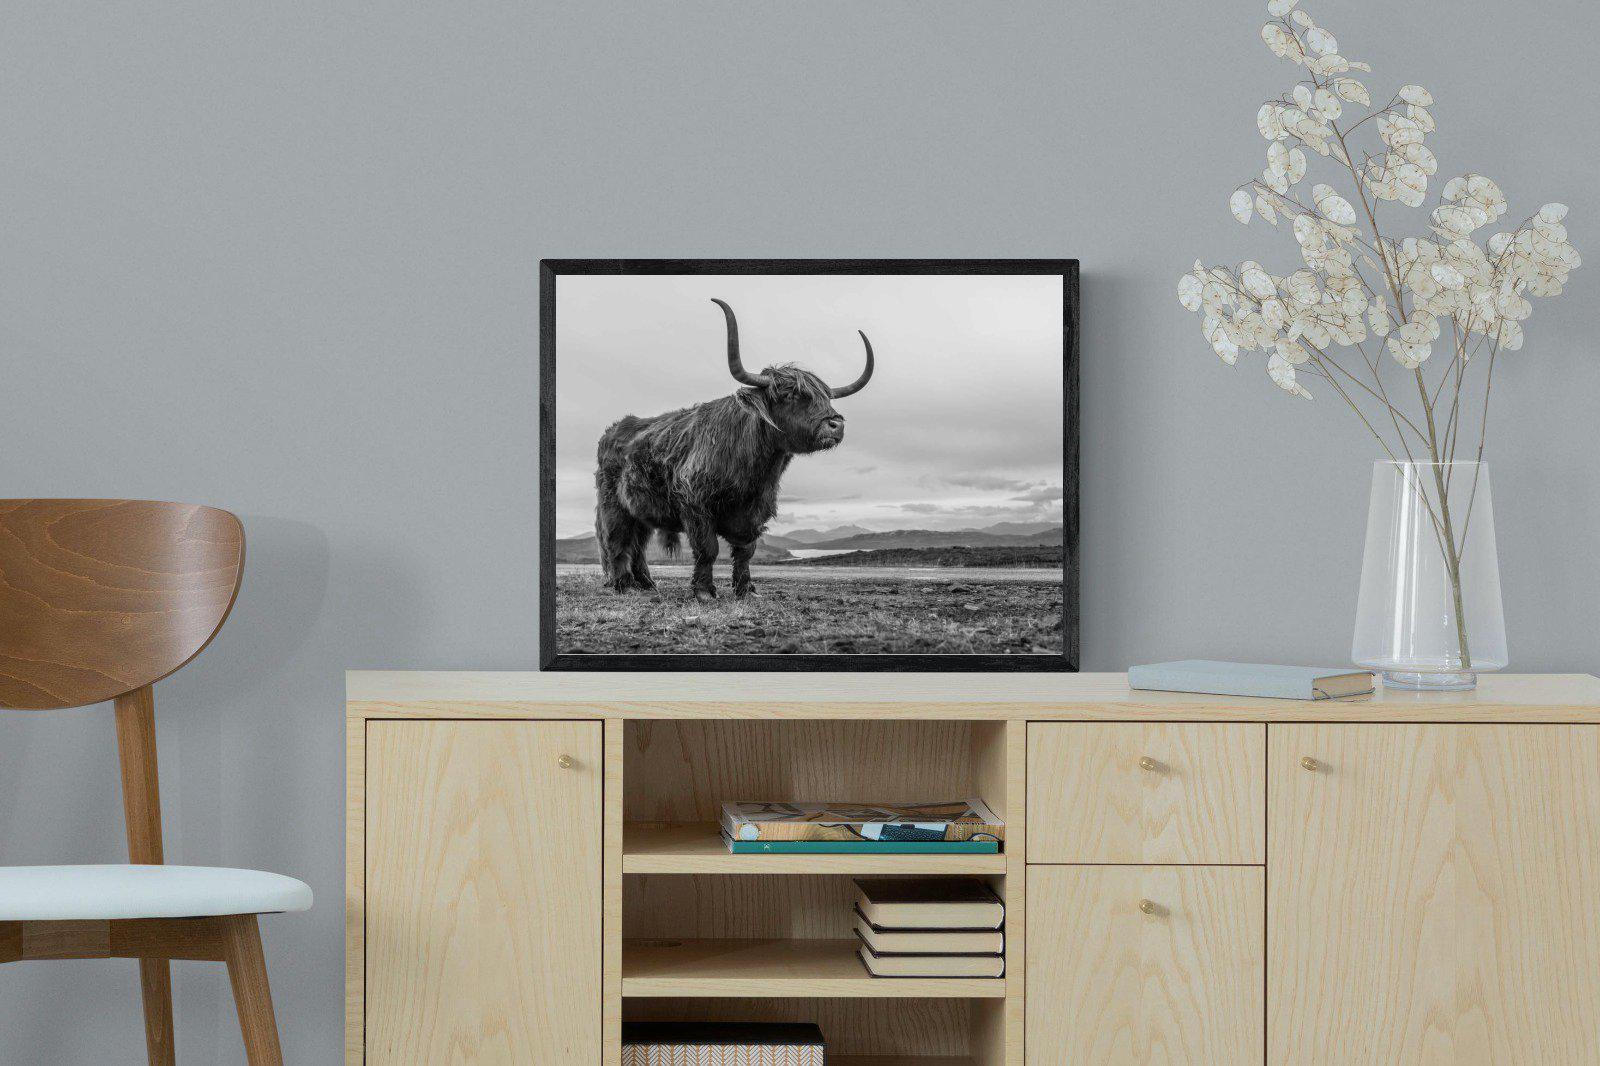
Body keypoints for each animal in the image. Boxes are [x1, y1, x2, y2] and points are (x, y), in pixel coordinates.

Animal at [594, 298, 874, 601]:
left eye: (826, 397)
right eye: (790, 394)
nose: (835, 424)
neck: (754, 472)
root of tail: (614, 430)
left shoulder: (755, 512)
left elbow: (745, 551)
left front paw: (745, 589)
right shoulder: (695, 505)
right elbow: (708, 549)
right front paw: (704, 591)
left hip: (641, 511)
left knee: (638, 544)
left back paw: (646, 583)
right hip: (614, 505)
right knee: (617, 540)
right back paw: (623, 584)